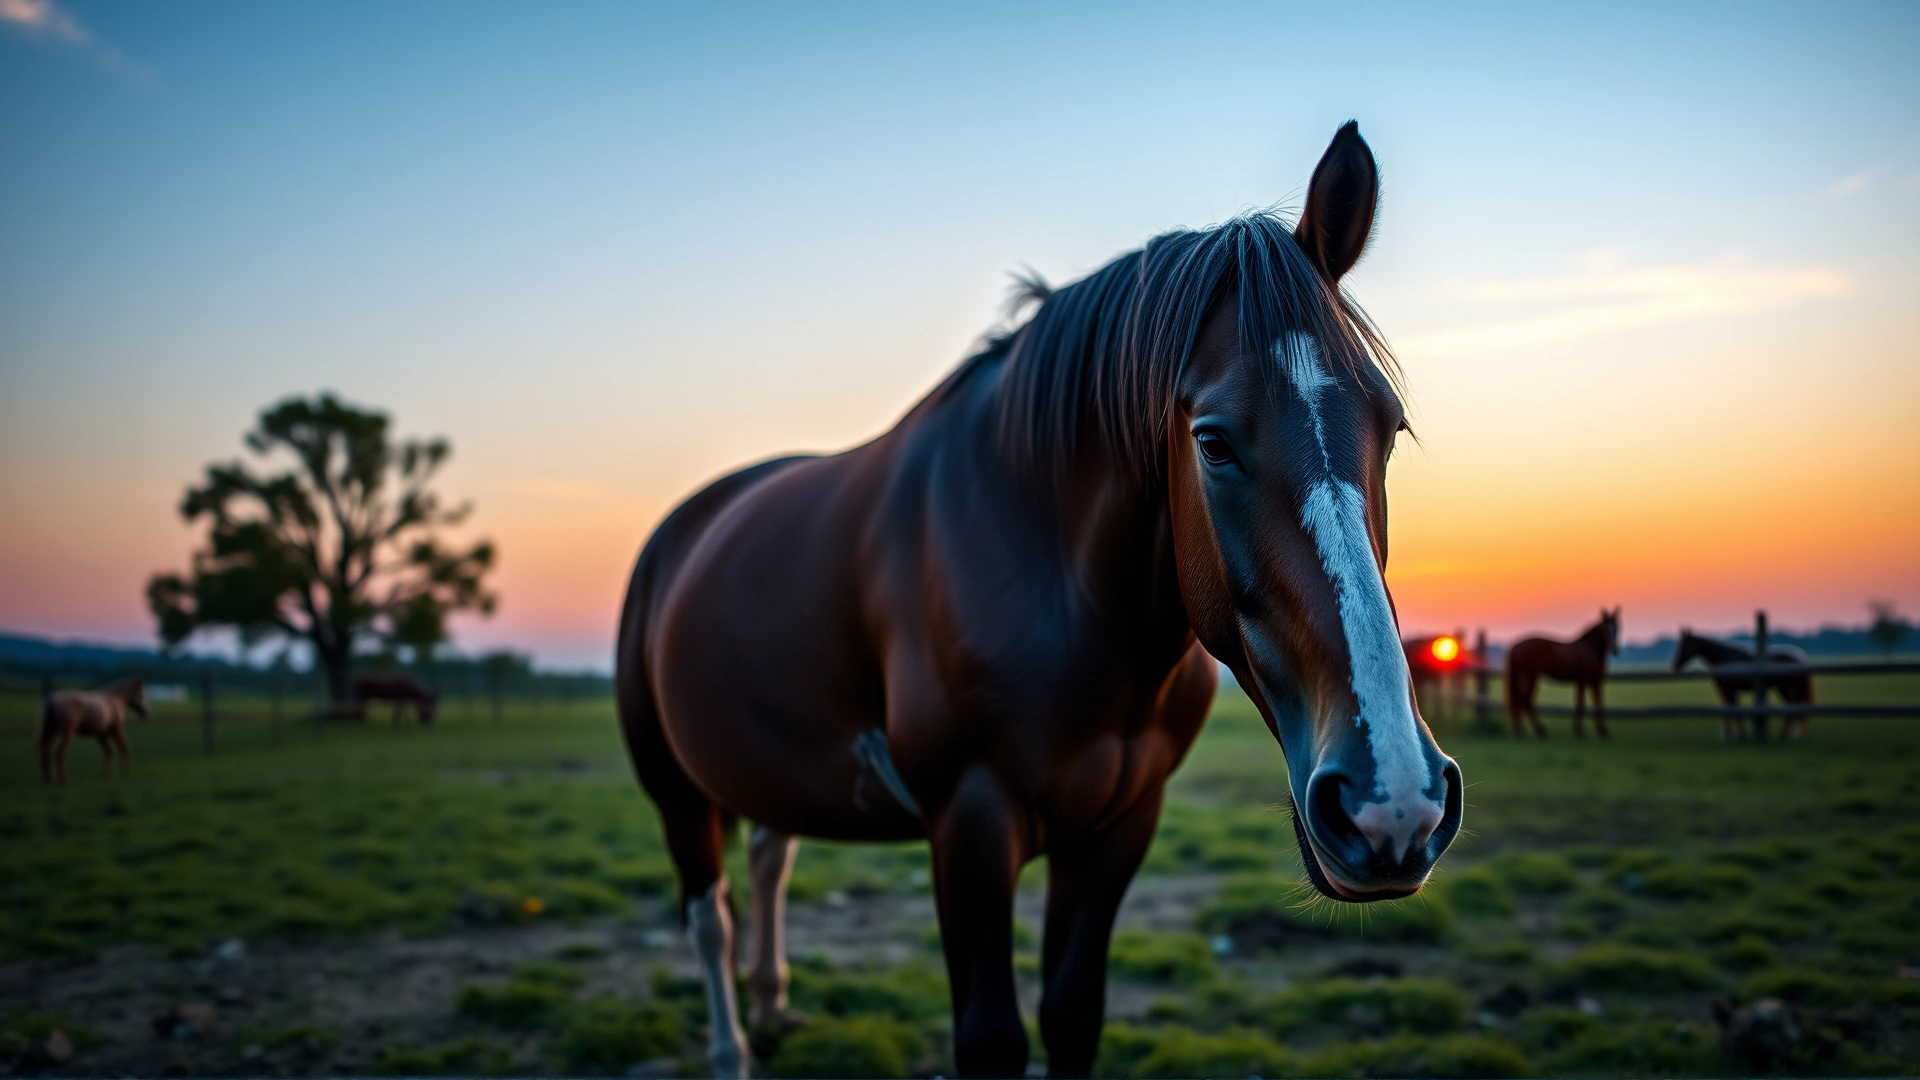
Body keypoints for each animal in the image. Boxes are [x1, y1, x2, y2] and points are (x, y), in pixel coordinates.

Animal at [615, 122, 1462, 1079]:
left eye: (1389, 427)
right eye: (1212, 441)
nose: (1393, 803)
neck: (1059, 582)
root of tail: (679, 532)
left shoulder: (1119, 827)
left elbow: (1071, 1014)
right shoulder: (970, 830)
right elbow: (992, 1037)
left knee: (767, 861)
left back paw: (771, 1006)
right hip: (674, 790)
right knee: (708, 919)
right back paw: (732, 1047)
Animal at [1505, 609, 1620, 739]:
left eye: (1617, 627)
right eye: (1605, 628)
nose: (1615, 650)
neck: (1590, 648)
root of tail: (1515, 647)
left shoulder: (1596, 681)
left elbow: (1598, 704)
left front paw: (1602, 730)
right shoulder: (1582, 680)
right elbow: (1581, 703)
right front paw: (1579, 730)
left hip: (1524, 678)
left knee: (1519, 701)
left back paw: (1521, 729)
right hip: (1532, 677)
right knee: (1526, 701)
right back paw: (1540, 729)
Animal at [1671, 629, 1813, 741]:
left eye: (1684, 645)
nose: (1675, 664)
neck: (1725, 657)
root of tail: (1801, 659)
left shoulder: (1728, 690)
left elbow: (1731, 710)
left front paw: (1730, 736)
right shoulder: (1727, 691)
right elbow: (1733, 709)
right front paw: (1738, 734)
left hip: (1787, 688)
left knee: (1793, 706)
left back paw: (1787, 734)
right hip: (1783, 688)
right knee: (1792, 706)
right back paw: (1788, 734)